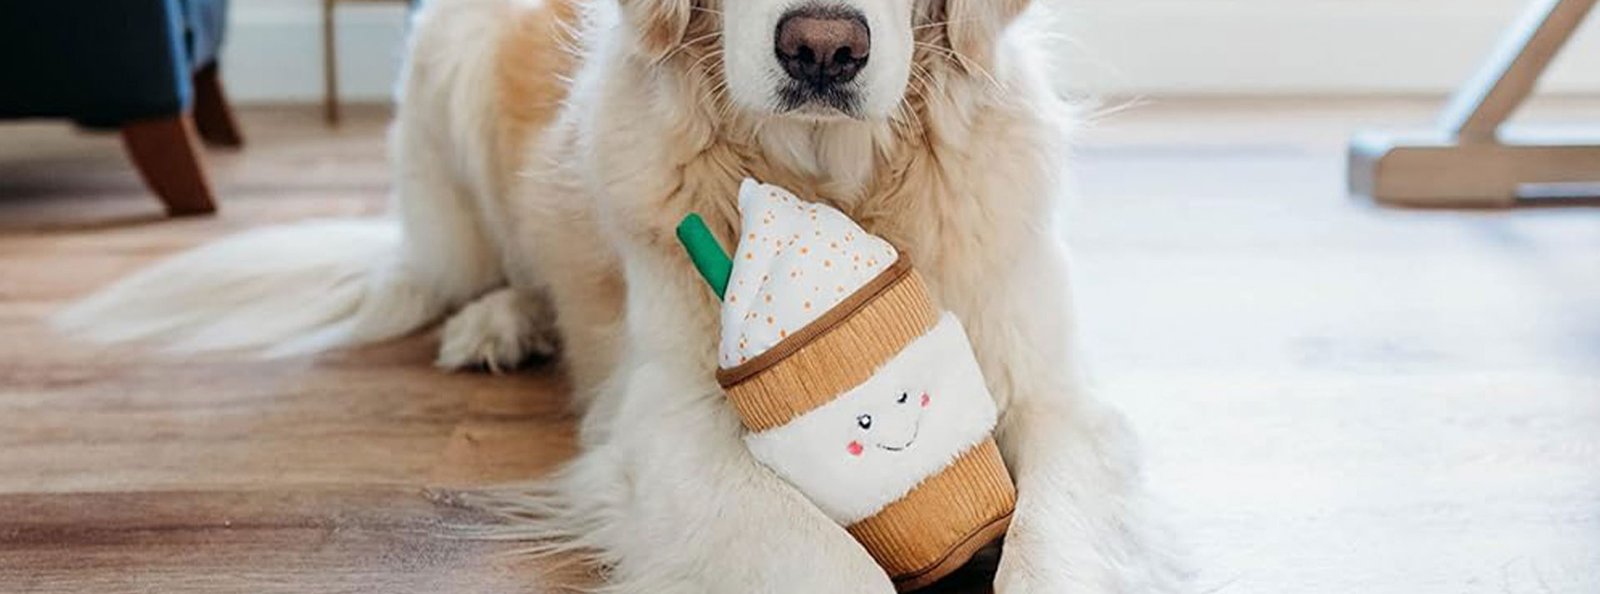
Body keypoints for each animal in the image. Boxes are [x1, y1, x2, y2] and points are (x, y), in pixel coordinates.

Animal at [59, 0, 1190, 592]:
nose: (822, 47)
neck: (832, 179)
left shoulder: (1060, 403)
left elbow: (1053, 551)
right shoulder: (671, 426)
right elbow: (819, 562)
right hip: (451, 77)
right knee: (470, 269)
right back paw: (500, 320)